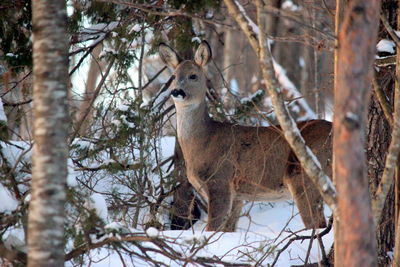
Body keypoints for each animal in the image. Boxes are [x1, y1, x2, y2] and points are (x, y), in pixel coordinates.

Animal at [158, 41, 332, 232]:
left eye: (193, 76)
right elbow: (227, 230)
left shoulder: (220, 180)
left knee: (317, 225)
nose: (177, 91)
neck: (202, 141)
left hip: (304, 178)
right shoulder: (238, 195)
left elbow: (212, 227)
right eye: (173, 76)